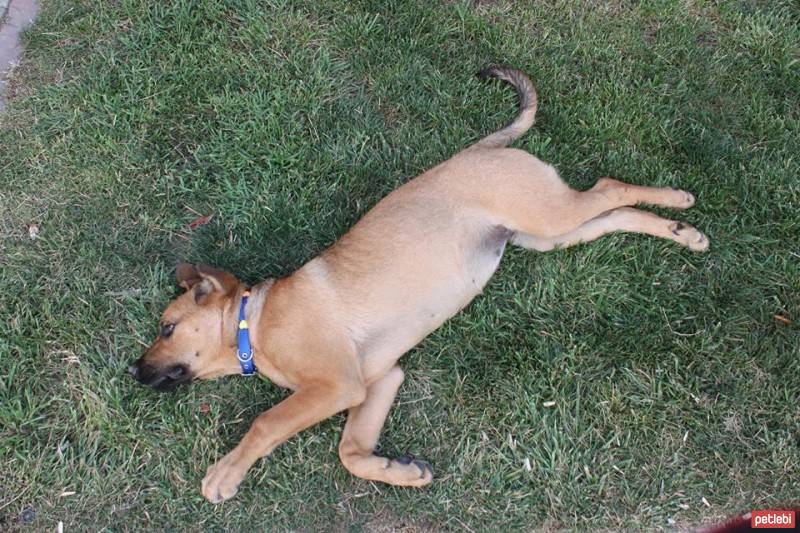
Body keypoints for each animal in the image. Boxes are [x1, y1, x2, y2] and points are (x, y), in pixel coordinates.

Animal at [128, 67, 708, 502]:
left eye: (166, 328)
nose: (132, 372)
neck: (256, 323)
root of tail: (480, 149)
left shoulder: (336, 385)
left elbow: (267, 423)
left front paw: (225, 473)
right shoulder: (380, 379)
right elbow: (350, 452)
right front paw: (398, 471)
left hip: (546, 213)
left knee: (610, 188)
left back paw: (679, 200)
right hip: (547, 235)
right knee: (613, 214)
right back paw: (682, 232)